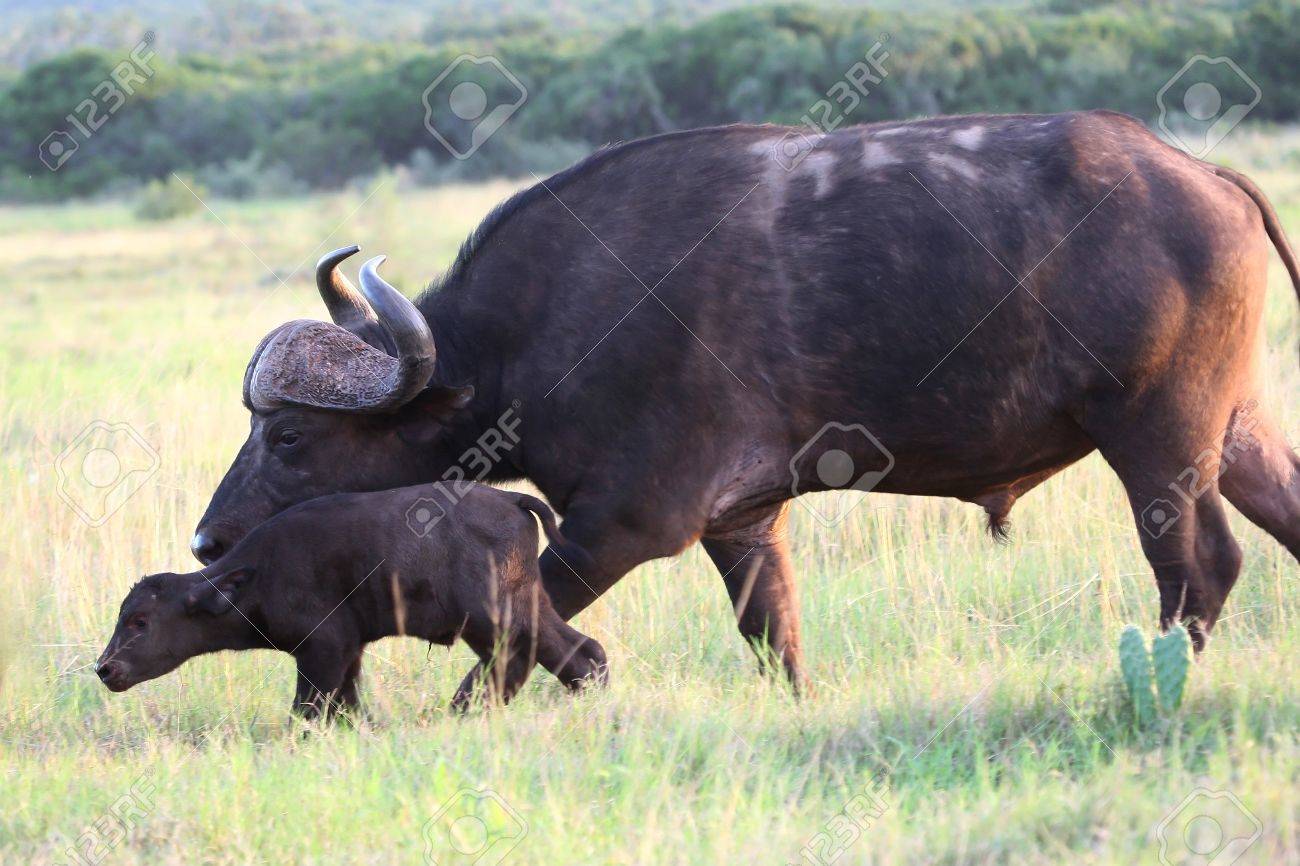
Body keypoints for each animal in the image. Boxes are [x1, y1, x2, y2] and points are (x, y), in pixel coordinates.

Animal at [193, 110, 1300, 697]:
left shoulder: (622, 526)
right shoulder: (744, 523)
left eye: (286, 433)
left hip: (1156, 442)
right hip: (1239, 436)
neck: (541, 329)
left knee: (1201, 566)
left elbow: (512, 645)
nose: (207, 538)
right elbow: (776, 638)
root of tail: (1203, 172)